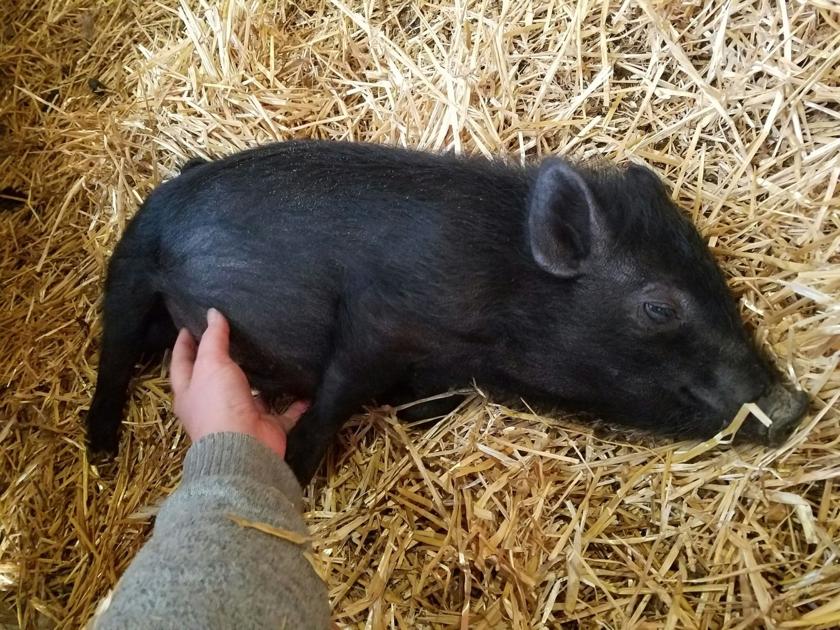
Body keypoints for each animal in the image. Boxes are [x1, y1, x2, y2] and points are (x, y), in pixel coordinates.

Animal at [85, 141, 809, 484]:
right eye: (659, 306)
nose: (794, 404)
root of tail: (164, 196)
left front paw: (410, 415)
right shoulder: (375, 316)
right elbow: (336, 393)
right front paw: (293, 470)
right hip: (130, 269)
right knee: (112, 355)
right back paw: (101, 451)